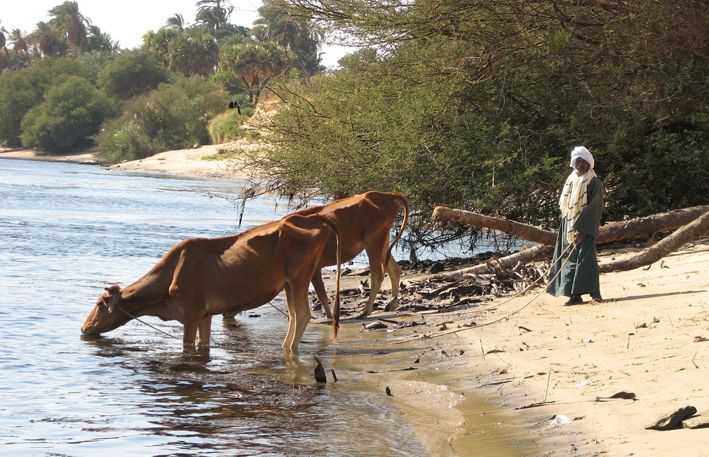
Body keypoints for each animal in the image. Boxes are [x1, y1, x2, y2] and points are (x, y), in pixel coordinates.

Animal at [80, 213, 340, 350]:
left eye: (100, 304)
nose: (83, 328)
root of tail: (314, 216)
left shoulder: (191, 313)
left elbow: (187, 345)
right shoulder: (205, 315)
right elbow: (203, 344)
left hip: (299, 278)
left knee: (303, 314)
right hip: (288, 284)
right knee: (294, 316)